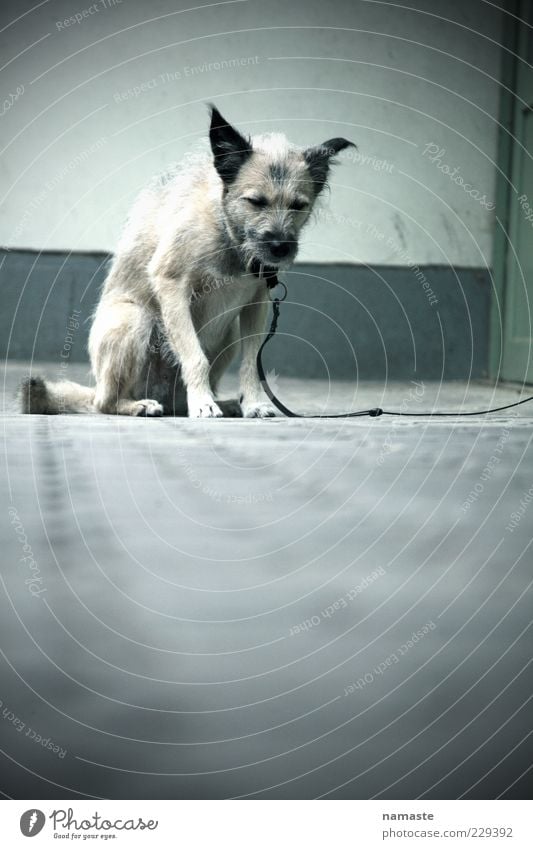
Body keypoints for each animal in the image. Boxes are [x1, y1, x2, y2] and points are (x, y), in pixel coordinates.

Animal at [20, 107, 354, 420]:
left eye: (299, 205)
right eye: (256, 202)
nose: (280, 248)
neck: (229, 234)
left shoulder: (256, 304)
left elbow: (250, 363)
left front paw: (252, 403)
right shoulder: (172, 286)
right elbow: (195, 357)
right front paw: (204, 403)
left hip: (229, 333)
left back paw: (224, 403)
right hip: (133, 319)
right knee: (105, 403)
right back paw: (141, 405)